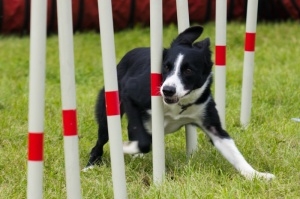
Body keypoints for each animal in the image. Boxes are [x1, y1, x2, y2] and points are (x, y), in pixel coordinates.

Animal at [84, 25, 274, 180]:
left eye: (188, 70)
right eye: (166, 67)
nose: (167, 90)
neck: (177, 104)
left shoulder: (210, 121)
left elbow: (234, 153)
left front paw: (257, 175)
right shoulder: (131, 93)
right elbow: (144, 142)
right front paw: (124, 147)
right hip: (108, 110)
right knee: (101, 140)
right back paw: (90, 166)